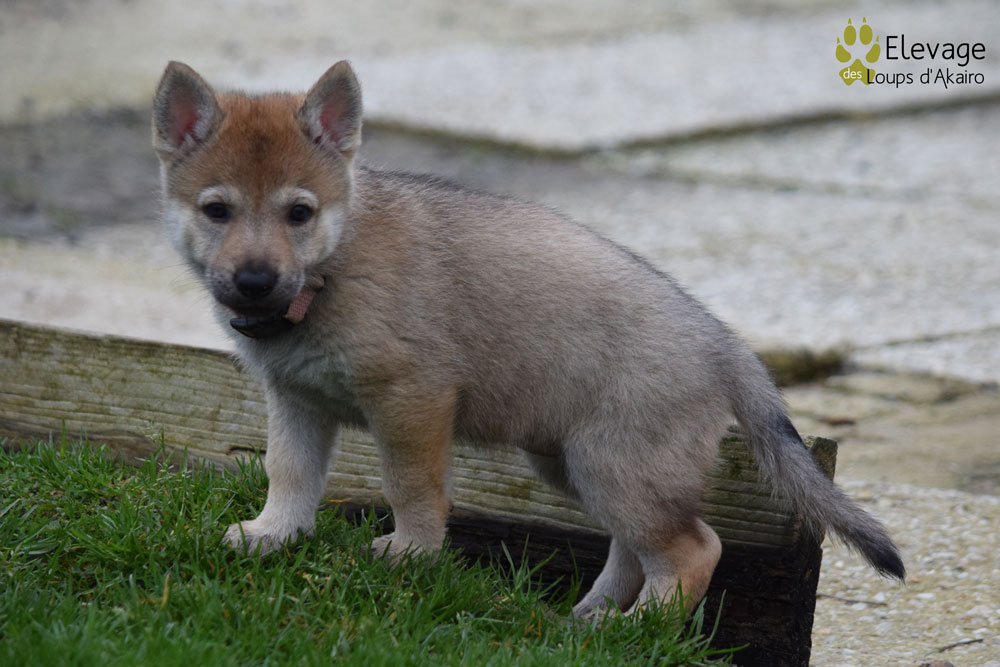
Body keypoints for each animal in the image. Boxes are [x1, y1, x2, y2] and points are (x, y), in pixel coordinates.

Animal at [152, 60, 904, 618]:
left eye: (299, 213)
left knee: (695, 548)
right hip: (575, 464)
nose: (253, 281)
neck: (331, 273)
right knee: (635, 549)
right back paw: (592, 619)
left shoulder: (412, 403)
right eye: (216, 210)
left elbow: (411, 487)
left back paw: (640, 631)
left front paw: (411, 555)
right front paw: (272, 536)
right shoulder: (296, 402)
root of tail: (726, 343)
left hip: (614, 465)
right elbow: (289, 473)